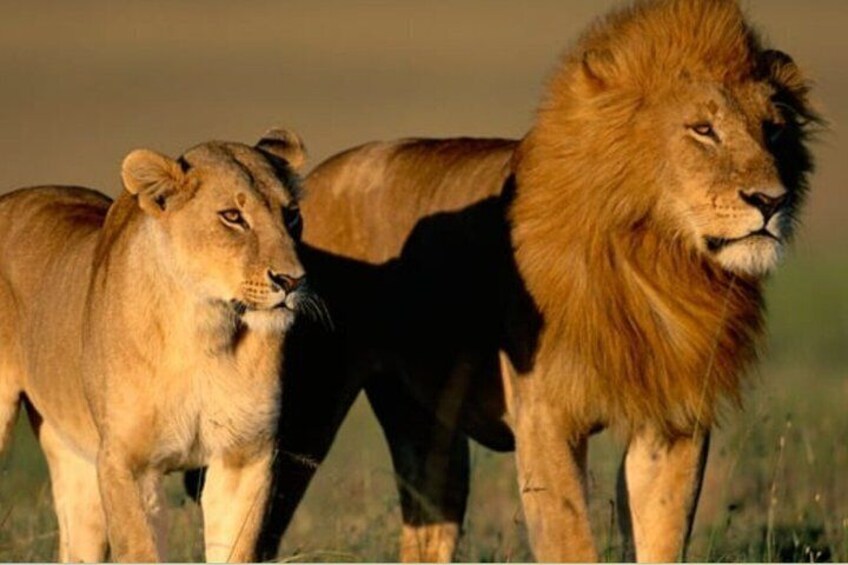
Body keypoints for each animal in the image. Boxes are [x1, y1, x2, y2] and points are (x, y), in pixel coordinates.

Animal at [0, 129, 310, 562]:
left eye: (292, 214)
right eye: (232, 216)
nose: (293, 280)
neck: (204, 331)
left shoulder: (245, 457)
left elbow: (234, 549)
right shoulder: (127, 464)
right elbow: (141, 550)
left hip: (74, 459)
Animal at [242, 1, 819, 562]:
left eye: (774, 130)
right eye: (703, 129)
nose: (771, 201)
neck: (656, 261)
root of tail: (305, 188)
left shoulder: (673, 419)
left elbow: (661, 539)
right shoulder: (544, 419)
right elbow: (570, 542)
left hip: (427, 430)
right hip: (302, 414)